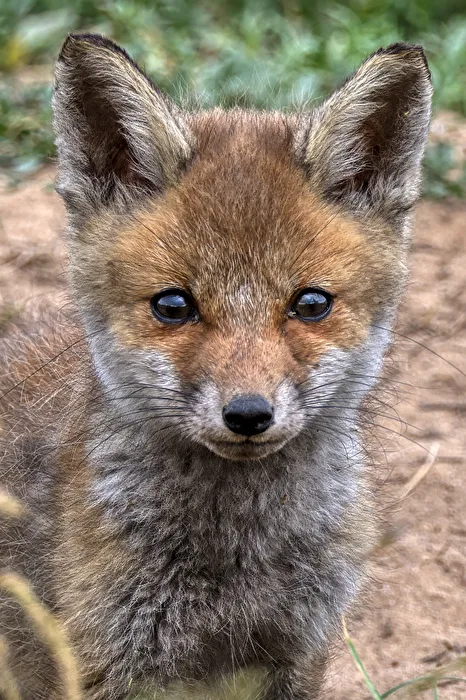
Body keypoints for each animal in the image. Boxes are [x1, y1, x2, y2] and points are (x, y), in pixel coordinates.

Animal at [0, 34, 432, 700]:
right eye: (174, 306)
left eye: (311, 304)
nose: (248, 414)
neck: (238, 557)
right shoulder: (97, 661)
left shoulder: (298, 652)